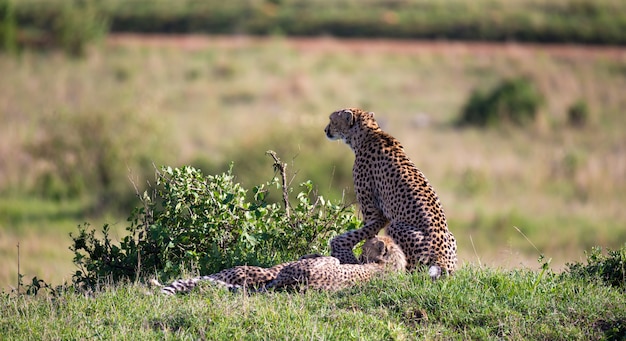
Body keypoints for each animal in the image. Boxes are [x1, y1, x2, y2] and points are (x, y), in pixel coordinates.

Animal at [324, 107, 456, 278]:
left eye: (332, 120)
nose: (325, 130)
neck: (369, 132)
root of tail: (442, 259)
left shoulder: (371, 209)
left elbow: (370, 234)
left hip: (396, 228)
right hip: (451, 237)